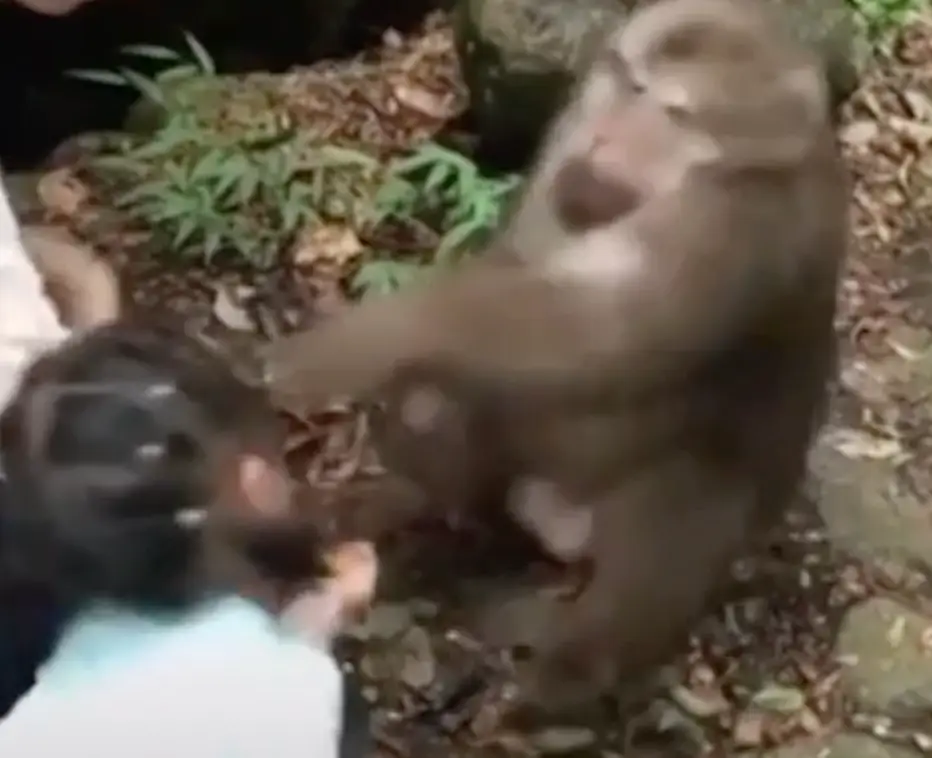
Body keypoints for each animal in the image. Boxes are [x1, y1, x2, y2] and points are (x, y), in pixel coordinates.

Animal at [260, 0, 848, 713]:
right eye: (626, 83)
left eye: (670, 113)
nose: (607, 139)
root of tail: (561, 527)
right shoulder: (571, 129)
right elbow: (518, 269)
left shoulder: (734, 222)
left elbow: (600, 332)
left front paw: (341, 349)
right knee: (438, 397)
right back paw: (422, 508)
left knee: (669, 530)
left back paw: (566, 676)